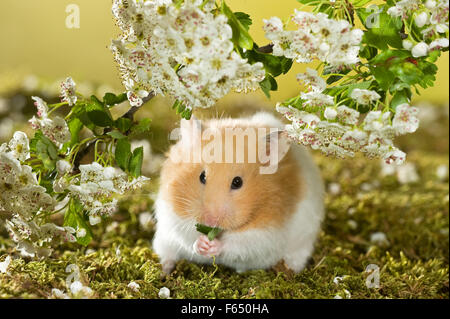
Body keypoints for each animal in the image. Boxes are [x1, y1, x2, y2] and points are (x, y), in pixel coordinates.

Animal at [151, 111, 324, 274]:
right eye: (202, 176)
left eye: (237, 182)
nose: (210, 221)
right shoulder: (173, 215)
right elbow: (187, 234)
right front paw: (203, 244)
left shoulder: (266, 232)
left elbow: (239, 243)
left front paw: (213, 245)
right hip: (163, 241)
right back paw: (165, 270)